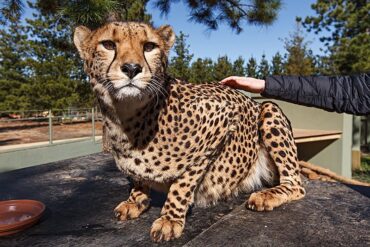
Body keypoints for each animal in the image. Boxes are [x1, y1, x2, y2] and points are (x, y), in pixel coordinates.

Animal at [73, 22, 304, 242]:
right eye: (108, 44)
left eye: (149, 46)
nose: (131, 68)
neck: (126, 116)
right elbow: (137, 176)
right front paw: (136, 199)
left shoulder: (222, 120)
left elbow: (184, 181)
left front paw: (169, 218)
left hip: (269, 110)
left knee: (296, 184)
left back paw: (266, 195)